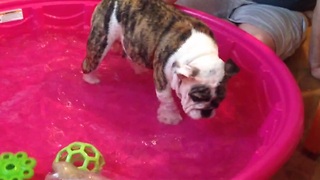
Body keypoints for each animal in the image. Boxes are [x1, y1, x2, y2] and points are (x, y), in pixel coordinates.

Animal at [81, 0, 239, 124]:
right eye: (196, 98)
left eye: (220, 100)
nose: (207, 112)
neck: (200, 54)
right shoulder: (162, 77)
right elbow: (167, 99)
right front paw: (170, 117)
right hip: (101, 41)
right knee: (90, 62)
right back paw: (91, 78)